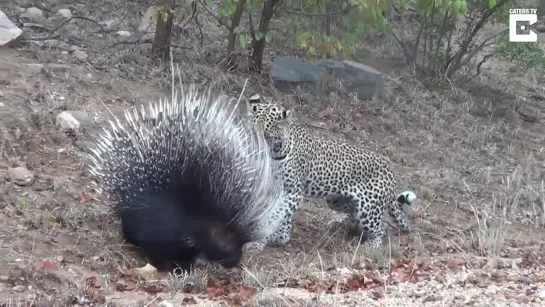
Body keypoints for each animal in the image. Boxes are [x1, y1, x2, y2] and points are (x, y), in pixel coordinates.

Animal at [243, 94, 416, 250]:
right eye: (252, 131)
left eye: (266, 135)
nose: (255, 145)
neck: (275, 153)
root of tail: (390, 173)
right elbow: (281, 216)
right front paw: (279, 237)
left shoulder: (293, 191)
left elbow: (277, 214)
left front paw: (264, 240)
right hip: (335, 200)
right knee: (354, 216)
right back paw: (340, 224)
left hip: (368, 207)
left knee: (381, 230)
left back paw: (370, 245)